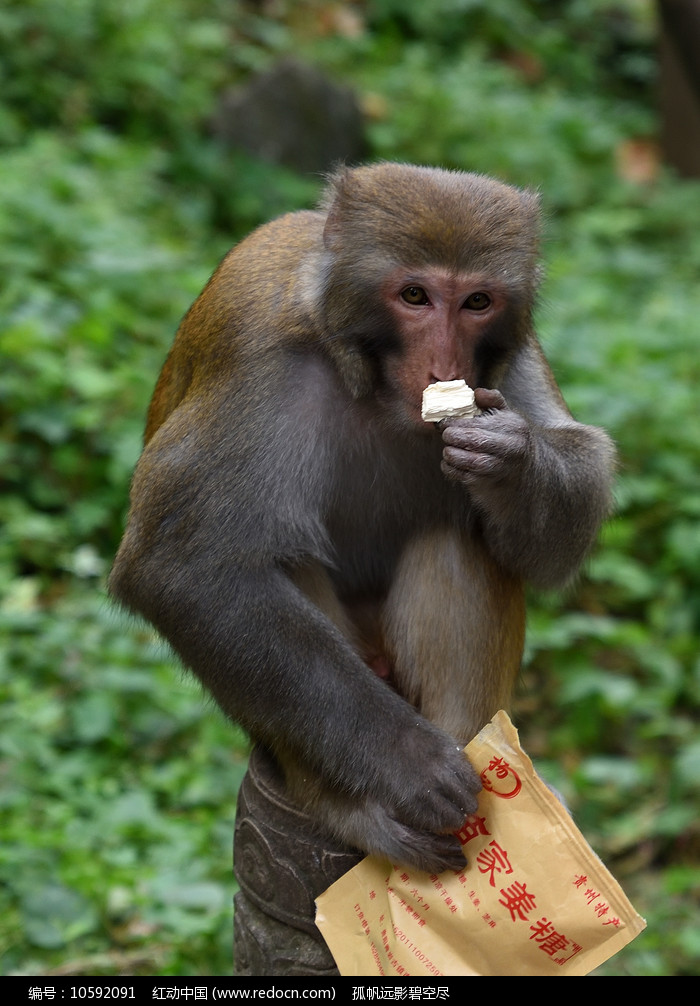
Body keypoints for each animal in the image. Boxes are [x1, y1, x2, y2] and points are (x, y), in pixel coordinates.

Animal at [108, 162, 611, 873]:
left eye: (477, 302)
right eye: (414, 295)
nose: (445, 366)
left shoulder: (510, 356)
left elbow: (576, 476)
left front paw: (513, 461)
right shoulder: (258, 359)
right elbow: (179, 566)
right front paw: (412, 765)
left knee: (459, 536)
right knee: (267, 559)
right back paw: (356, 804)